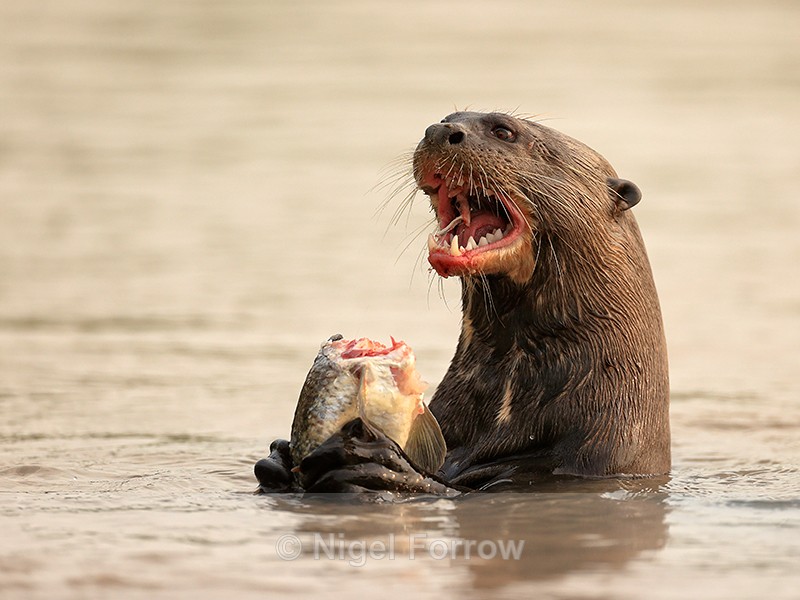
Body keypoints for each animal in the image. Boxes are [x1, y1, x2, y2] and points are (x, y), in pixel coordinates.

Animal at [255, 111, 670, 493]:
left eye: (504, 131)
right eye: (447, 118)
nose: (439, 130)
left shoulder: (576, 464)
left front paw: (371, 463)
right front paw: (279, 456)